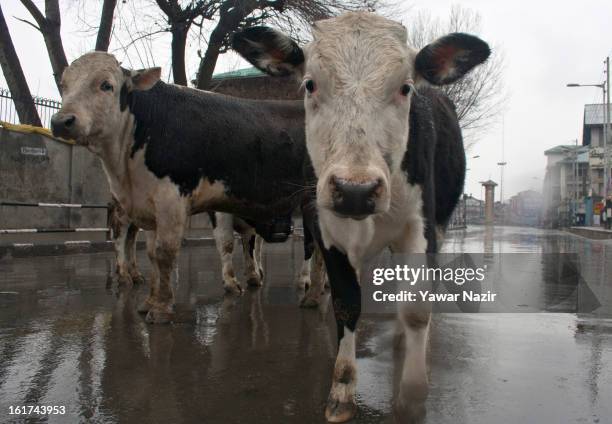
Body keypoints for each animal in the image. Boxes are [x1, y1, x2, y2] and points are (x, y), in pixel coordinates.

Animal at [51, 51, 326, 322]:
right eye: (63, 85)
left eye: (106, 85)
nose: (61, 121)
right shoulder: (150, 204)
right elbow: (152, 253)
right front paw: (149, 302)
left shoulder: (171, 199)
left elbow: (165, 252)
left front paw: (161, 308)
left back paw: (314, 295)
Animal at [232, 11, 490, 422]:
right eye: (309, 84)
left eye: (405, 88)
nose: (356, 190)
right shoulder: (325, 225)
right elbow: (347, 302)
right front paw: (341, 389)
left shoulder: (420, 229)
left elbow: (417, 308)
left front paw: (412, 395)